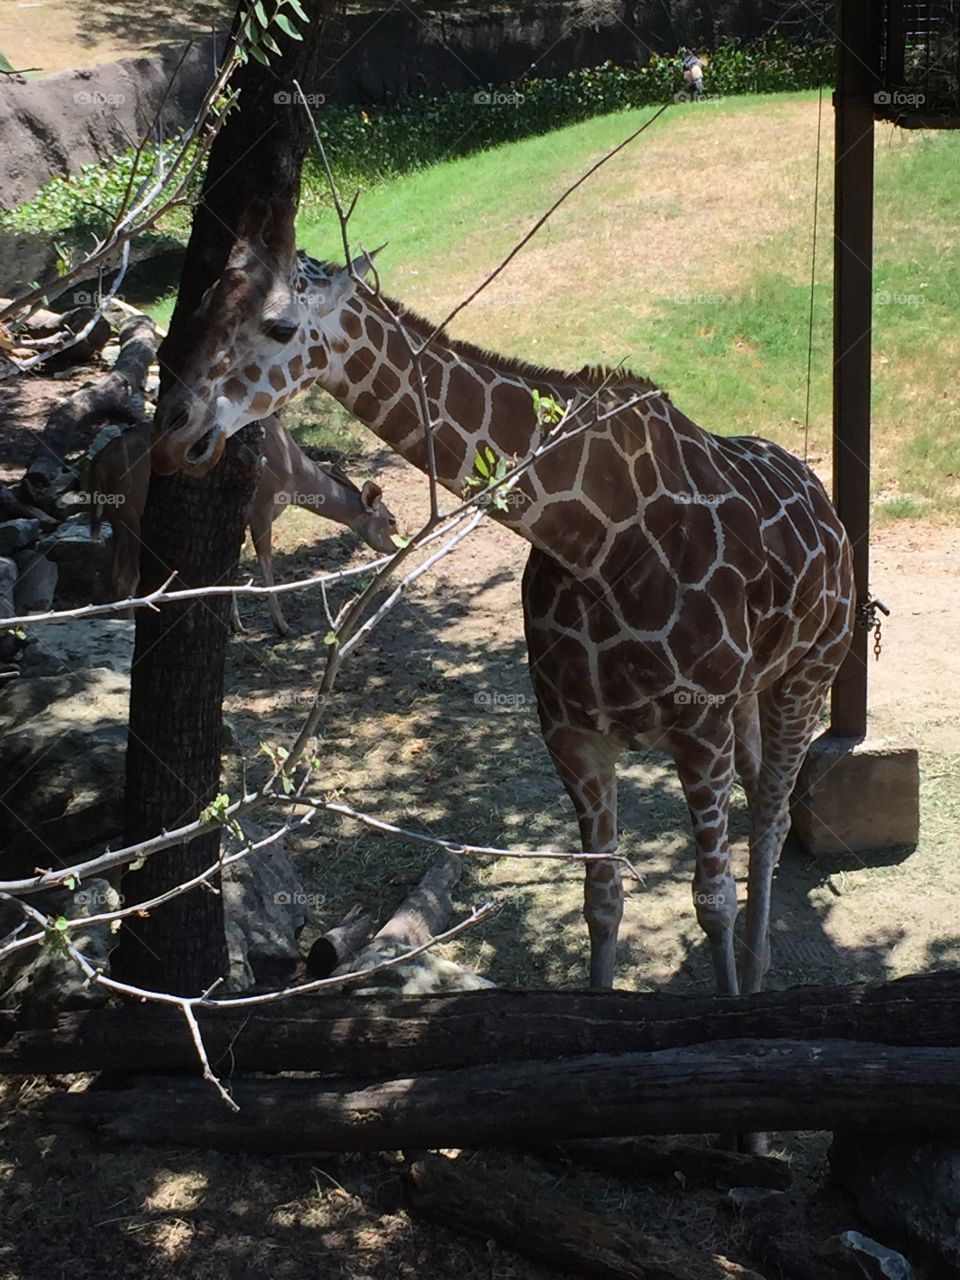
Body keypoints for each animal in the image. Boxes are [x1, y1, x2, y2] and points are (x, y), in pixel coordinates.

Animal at [153, 204, 855, 995]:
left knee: (770, 817)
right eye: (198, 309)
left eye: (278, 326)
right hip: (751, 693)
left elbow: (710, 901)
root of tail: (829, 513)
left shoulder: (696, 730)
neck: (592, 539)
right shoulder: (572, 735)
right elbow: (602, 900)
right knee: (763, 792)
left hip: (808, 676)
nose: (173, 432)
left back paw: (760, 967)